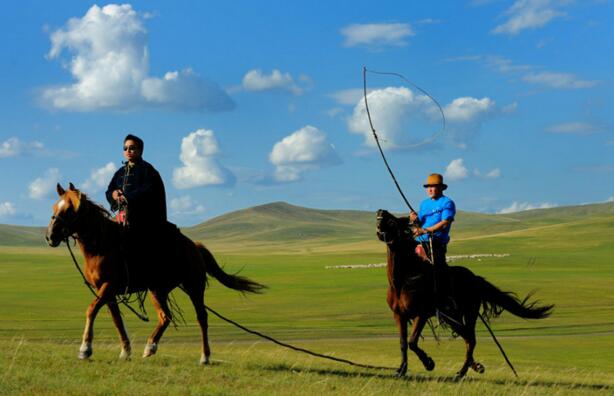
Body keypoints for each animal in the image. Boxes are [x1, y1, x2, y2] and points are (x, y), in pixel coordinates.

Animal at [44, 184, 264, 364]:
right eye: (54, 208)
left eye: (69, 210)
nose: (50, 236)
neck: (101, 245)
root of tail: (194, 246)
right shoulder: (107, 291)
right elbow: (116, 319)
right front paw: (125, 352)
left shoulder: (108, 287)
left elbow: (91, 310)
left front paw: (85, 350)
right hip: (157, 289)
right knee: (165, 317)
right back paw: (150, 347)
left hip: (194, 287)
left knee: (201, 318)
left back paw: (205, 357)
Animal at [376, 209, 552, 378]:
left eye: (392, 221)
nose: (379, 212)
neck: (403, 281)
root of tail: (475, 278)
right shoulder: (399, 315)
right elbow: (403, 343)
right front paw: (401, 370)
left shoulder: (422, 314)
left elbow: (412, 342)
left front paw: (429, 363)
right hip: (453, 317)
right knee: (467, 338)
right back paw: (475, 366)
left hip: (469, 312)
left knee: (471, 339)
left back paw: (461, 372)